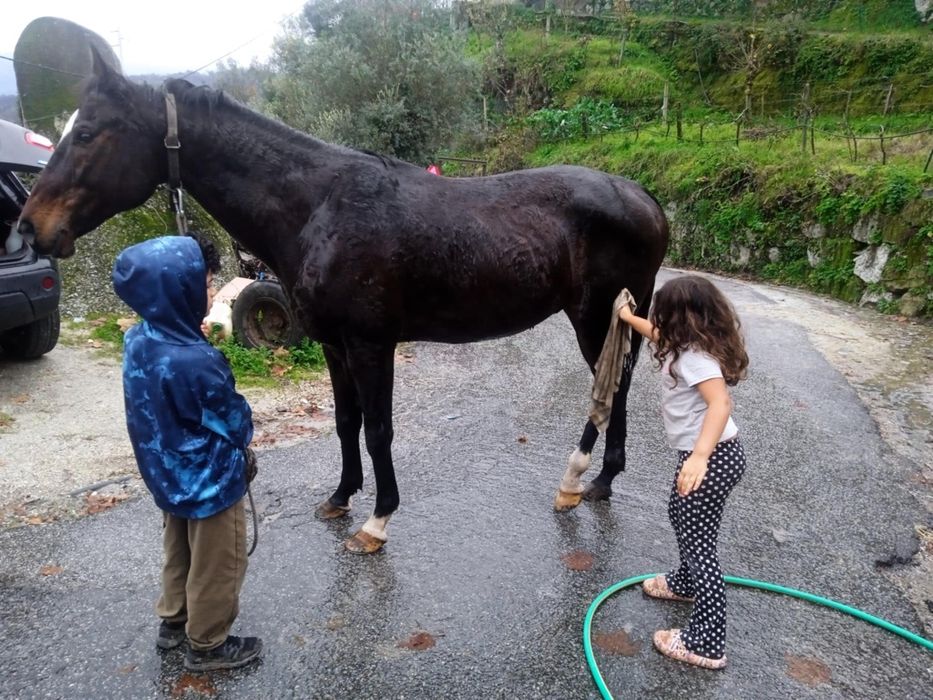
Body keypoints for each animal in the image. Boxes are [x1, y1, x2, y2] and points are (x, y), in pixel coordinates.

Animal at [19, 51, 669, 553]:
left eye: (87, 133)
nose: (29, 227)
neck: (317, 208)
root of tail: (644, 198)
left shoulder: (369, 344)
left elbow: (378, 428)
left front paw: (377, 521)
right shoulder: (333, 344)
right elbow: (344, 422)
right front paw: (339, 497)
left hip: (593, 318)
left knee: (609, 389)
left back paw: (579, 480)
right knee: (616, 387)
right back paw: (600, 481)